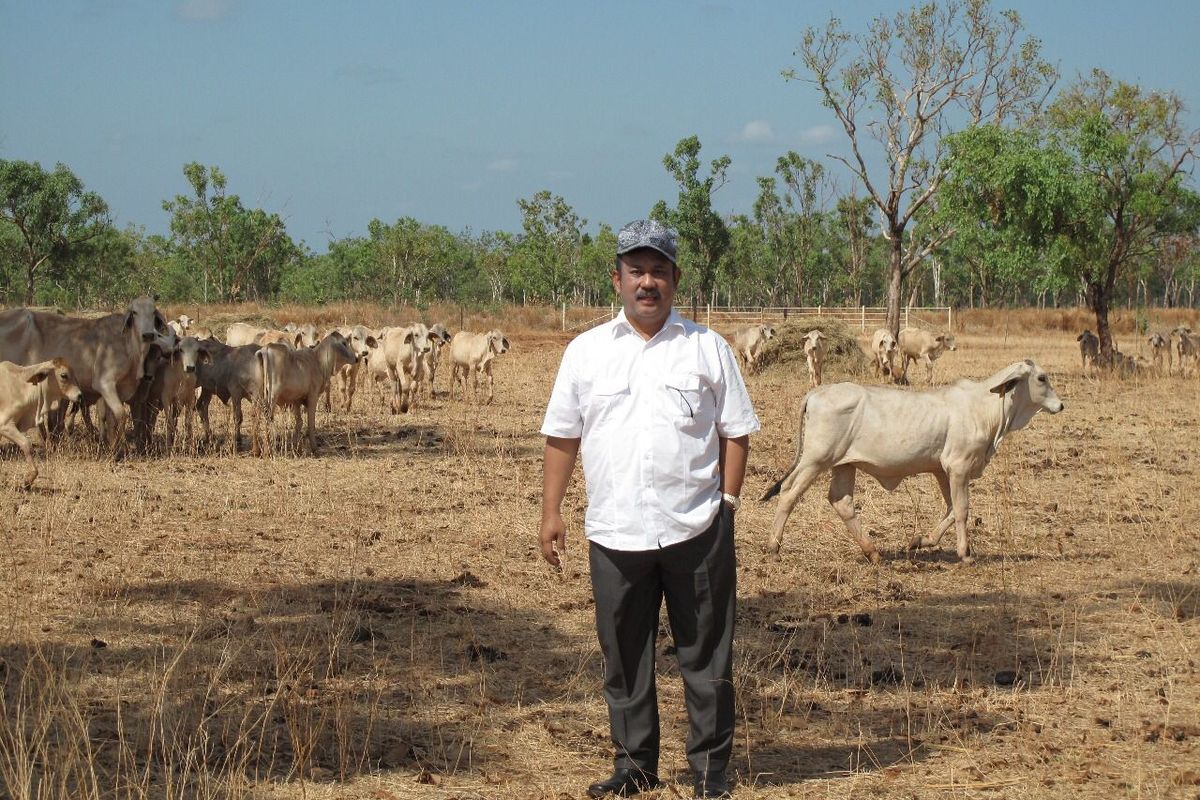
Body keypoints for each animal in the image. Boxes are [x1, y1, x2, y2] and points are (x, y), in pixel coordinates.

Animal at [763, 359, 1065, 566]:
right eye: (1041, 378)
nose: (1060, 405)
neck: (985, 407)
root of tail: (817, 392)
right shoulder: (959, 466)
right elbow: (962, 510)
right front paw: (965, 554)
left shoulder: (943, 469)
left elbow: (951, 509)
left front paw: (920, 541)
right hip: (815, 459)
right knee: (789, 492)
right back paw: (773, 547)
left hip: (844, 464)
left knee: (842, 502)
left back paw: (873, 553)